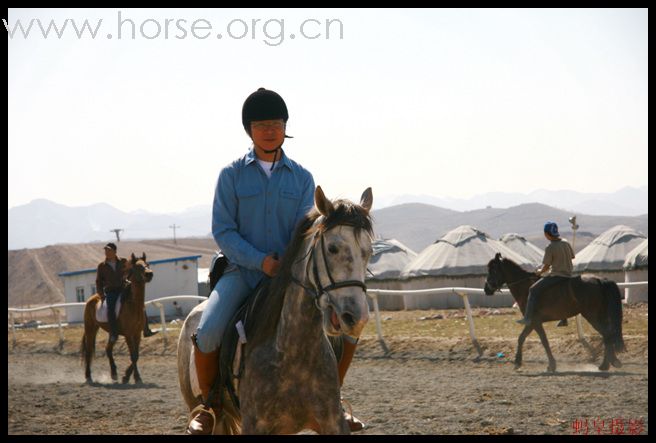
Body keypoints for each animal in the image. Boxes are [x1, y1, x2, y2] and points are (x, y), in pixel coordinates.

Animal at [80, 253, 154, 386]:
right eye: (137, 266)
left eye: (147, 264)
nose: (149, 274)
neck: (133, 305)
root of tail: (92, 298)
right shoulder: (129, 335)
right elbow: (133, 355)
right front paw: (135, 378)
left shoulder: (137, 334)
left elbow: (136, 355)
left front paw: (127, 377)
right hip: (90, 329)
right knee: (89, 351)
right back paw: (88, 377)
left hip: (112, 333)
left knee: (108, 349)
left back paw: (114, 373)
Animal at [179, 186, 374, 436]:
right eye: (333, 248)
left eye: (368, 252)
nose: (356, 317)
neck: (293, 352)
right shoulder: (255, 425)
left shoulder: (333, 423)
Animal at [482, 253, 624, 374]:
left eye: (493, 270)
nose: (486, 289)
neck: (525, 288)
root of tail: (600, 280)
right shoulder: (533, 322)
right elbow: (523, 338)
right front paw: (519, 362)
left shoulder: (534, 321)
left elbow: (540, 340)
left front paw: (549, 365)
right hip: (600, 316)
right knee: (608, 335)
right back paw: (612, 361)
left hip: (592, 316)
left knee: (607, 335)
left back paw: (605, 365)